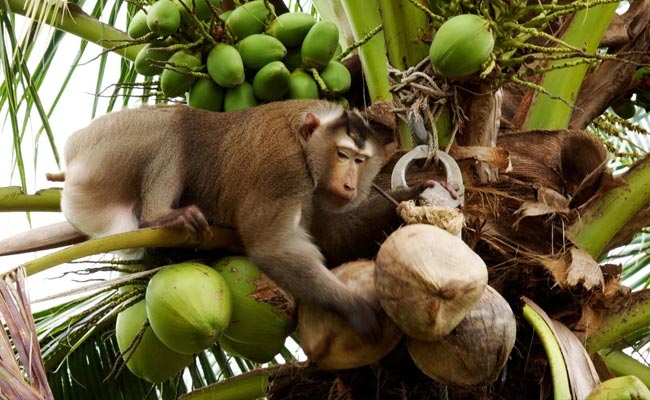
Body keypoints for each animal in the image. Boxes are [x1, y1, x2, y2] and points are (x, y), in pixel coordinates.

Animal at [59, 99, 394, 340]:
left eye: (360, 161)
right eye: (342, 155)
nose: (350, 185)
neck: (304, 140)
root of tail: (72, 147)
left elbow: (335, 239)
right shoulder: (284, 170)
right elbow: (272, 248)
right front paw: (353, 306)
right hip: (105, 147)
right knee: (176, 126)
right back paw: (158, 216)